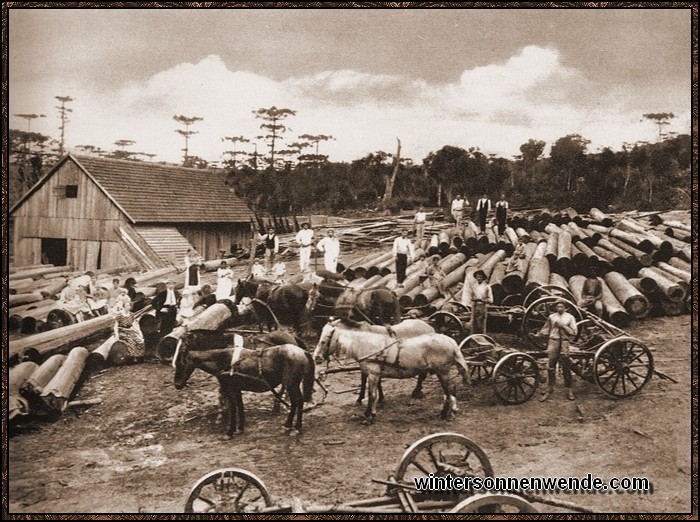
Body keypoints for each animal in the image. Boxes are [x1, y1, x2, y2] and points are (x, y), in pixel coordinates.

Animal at [174, 332, 316, 436]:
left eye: (181, 363)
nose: (177, 384)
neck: (223, 360)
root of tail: (302, 351)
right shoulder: (236, 389)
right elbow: (239, 406)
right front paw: (240, 427)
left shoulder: (230, 388)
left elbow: (233, 407)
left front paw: (229, 431)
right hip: (292, 384)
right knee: (295, 402)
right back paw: (288, 424)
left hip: (291, 384)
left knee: (298, 401)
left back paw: (294, 426)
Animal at [314, 316, 470, 422]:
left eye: (324, 340)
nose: (316, 358)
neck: (367, 344)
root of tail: (451, 341)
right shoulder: (372, 374)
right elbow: (372, 391)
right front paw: (368, 411)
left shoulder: (373, 374)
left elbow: (372, 394)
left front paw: (370, 416)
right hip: (440, 372)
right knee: (446, 391)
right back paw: (444, 412)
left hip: (442, 371)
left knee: (449, 390)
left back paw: (449, 412)